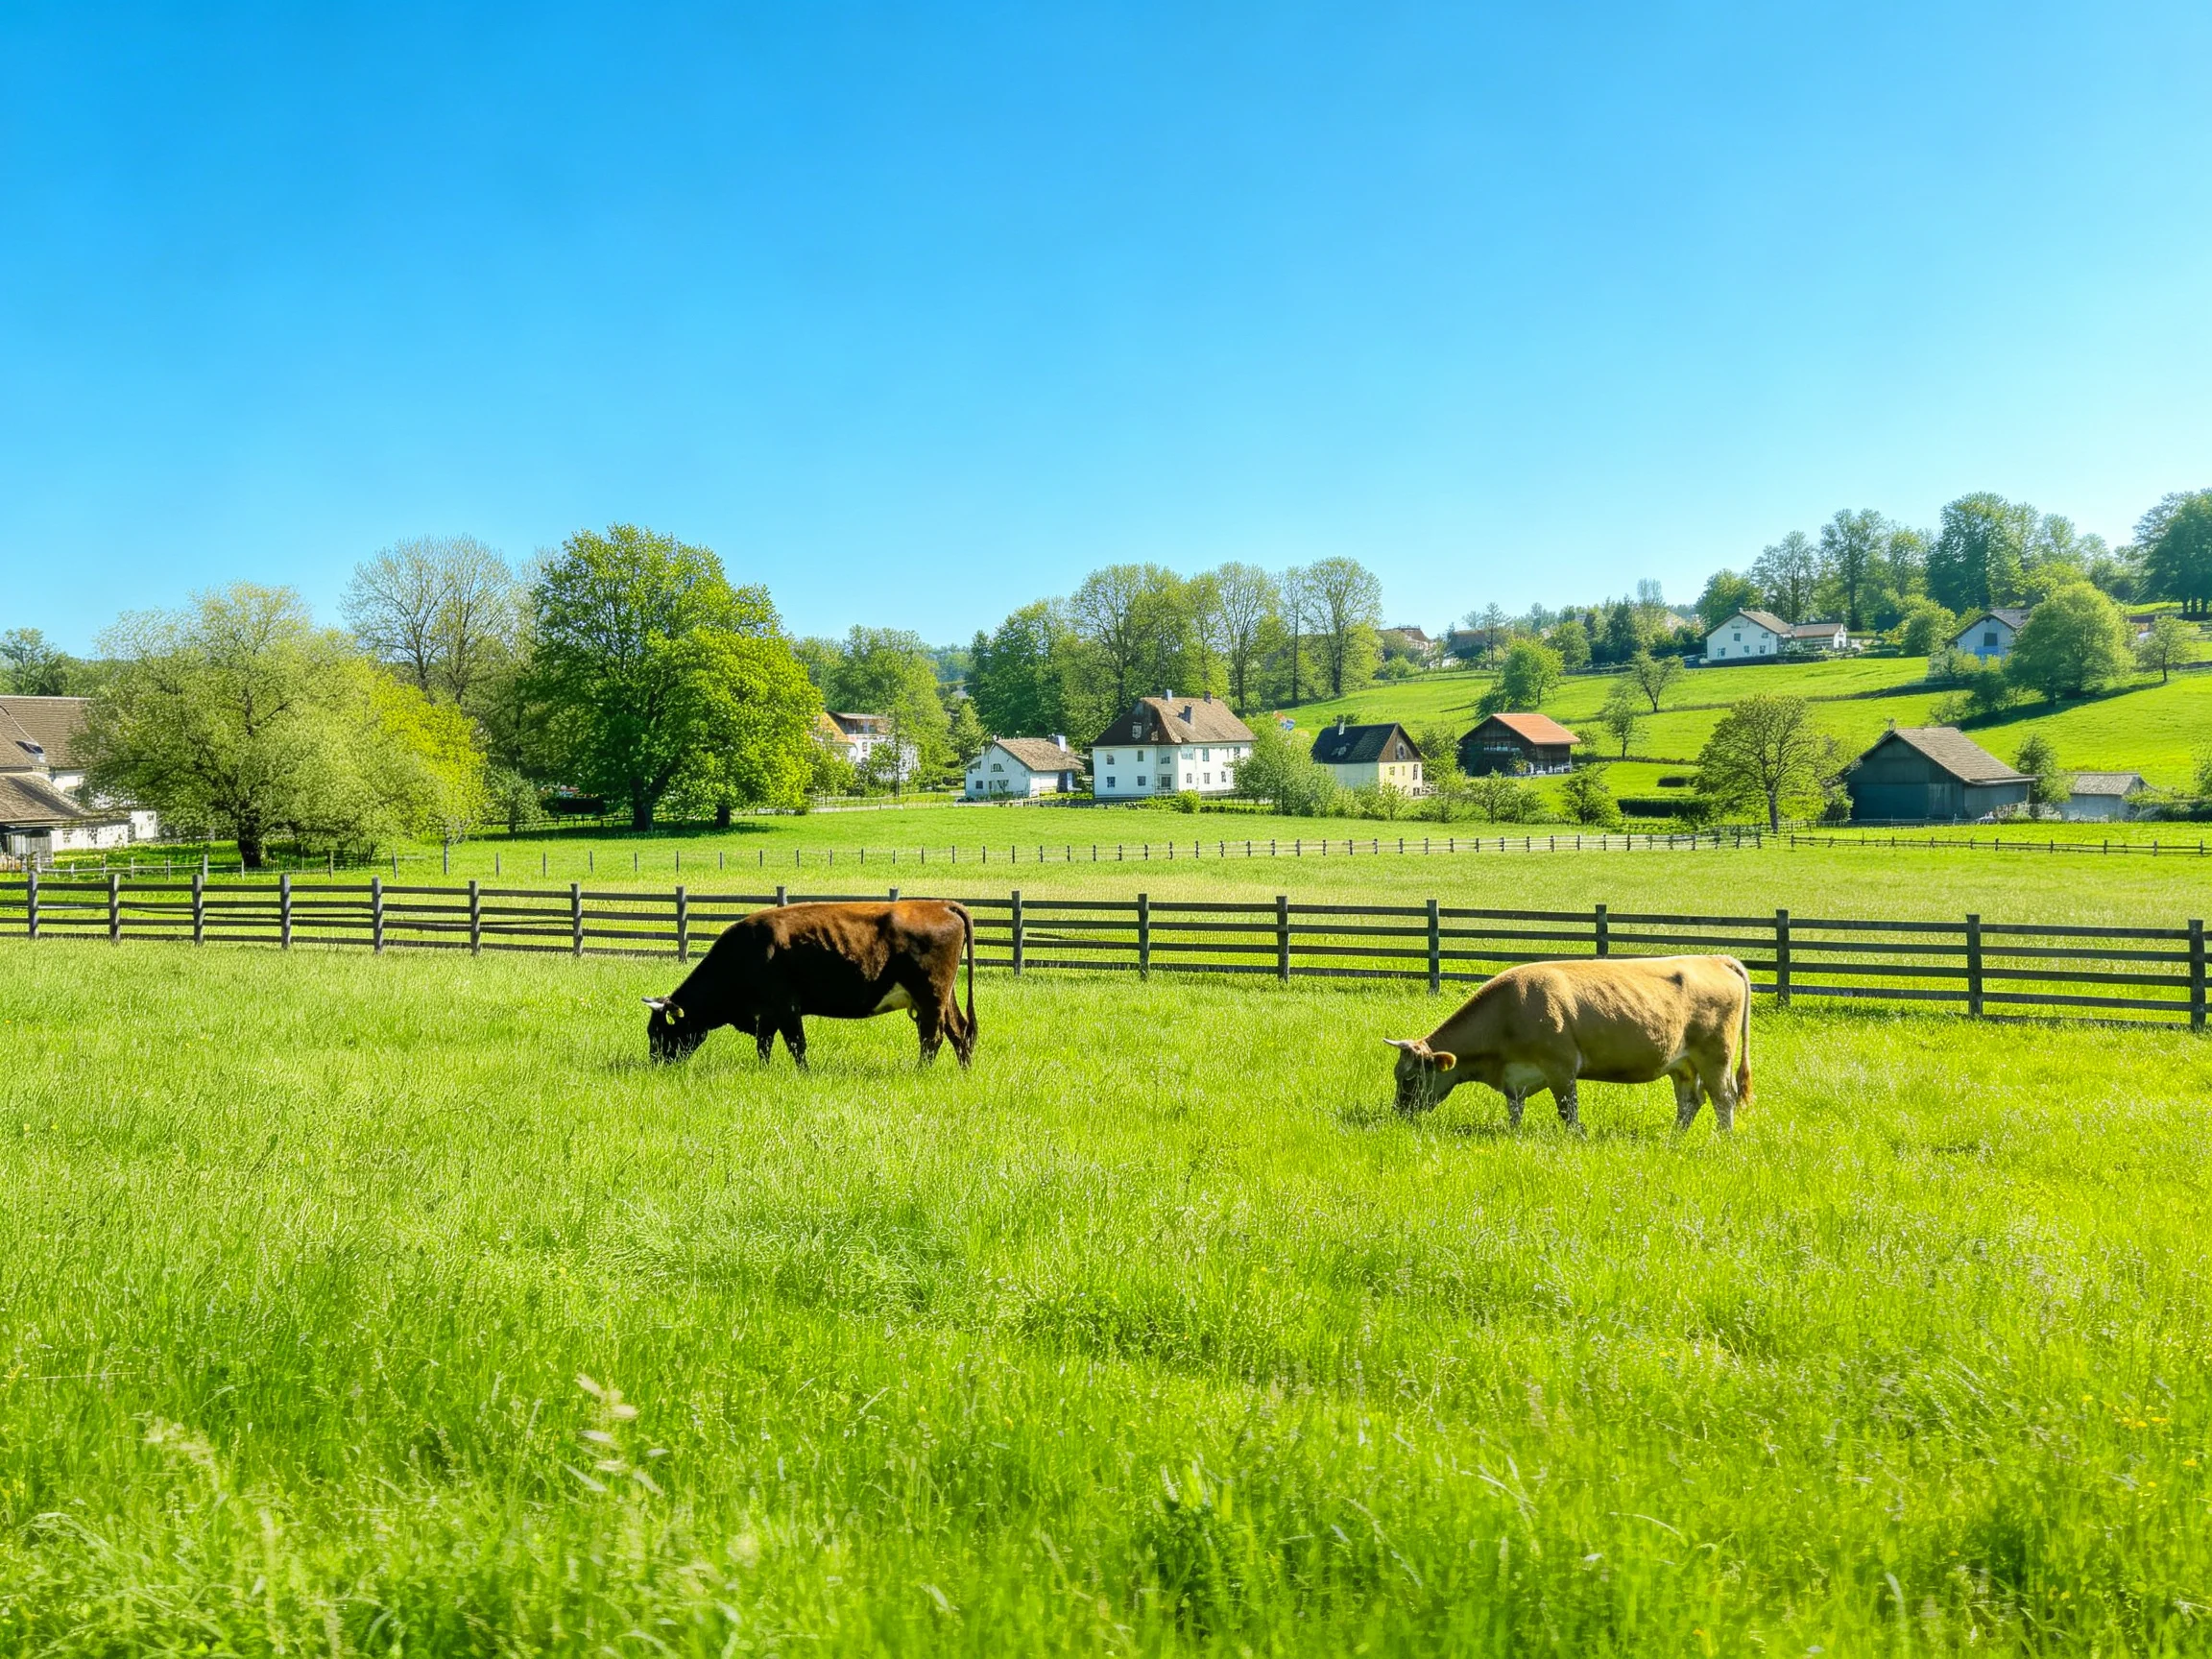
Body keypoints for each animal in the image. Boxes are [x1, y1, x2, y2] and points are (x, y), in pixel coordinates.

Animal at [643, 900, 976, 1068]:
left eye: (660, 1032)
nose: (656, 1064)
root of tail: (942, 905)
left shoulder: (786, 1007)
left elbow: (796, 1044)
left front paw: (804, 1073)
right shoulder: (768, 1014)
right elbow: (764, 1045)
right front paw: (764, 1072)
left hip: (931, 996)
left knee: (932, 1039)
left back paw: (921, 1073)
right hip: (942, 998)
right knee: (959, 1032)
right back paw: (964, 1071)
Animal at [1385, 955, 1752, 1132]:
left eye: (1410, 1078)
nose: (1398, 1113)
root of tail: (1715, 958)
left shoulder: (1560, 1068)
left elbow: (1568, 1113)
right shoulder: (1515, 1078)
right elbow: (1515, 1112)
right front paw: (1513, 1135)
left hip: (1715, 1056)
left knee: (1723, 1099)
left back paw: (1722, 1139)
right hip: (1683, 1064)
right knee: (1690, 1101)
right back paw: (1673, 1139)